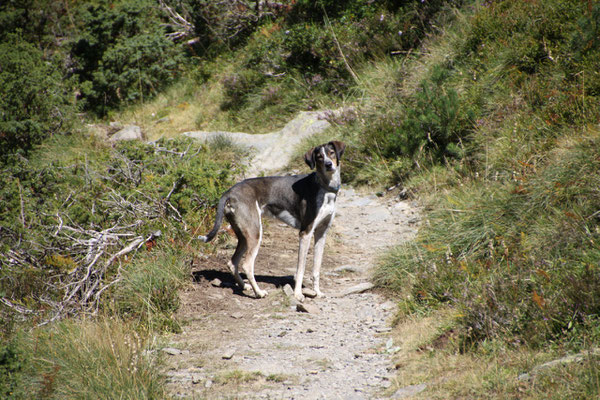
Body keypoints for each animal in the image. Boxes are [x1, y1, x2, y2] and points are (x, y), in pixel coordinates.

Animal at [199, 142, 344, 302]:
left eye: (331, 153)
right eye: (319, 157)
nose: (329, 165)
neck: (325, 187)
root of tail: (229, 192)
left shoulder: (321, 234)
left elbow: (316, 269)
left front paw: (317, 292)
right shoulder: (305, 233)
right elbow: (300, 269)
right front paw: (297, 294)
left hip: (245, 236)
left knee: (232, 263)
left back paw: (244, 286)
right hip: (255, 234)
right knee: (247, 265)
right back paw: (259, 292)